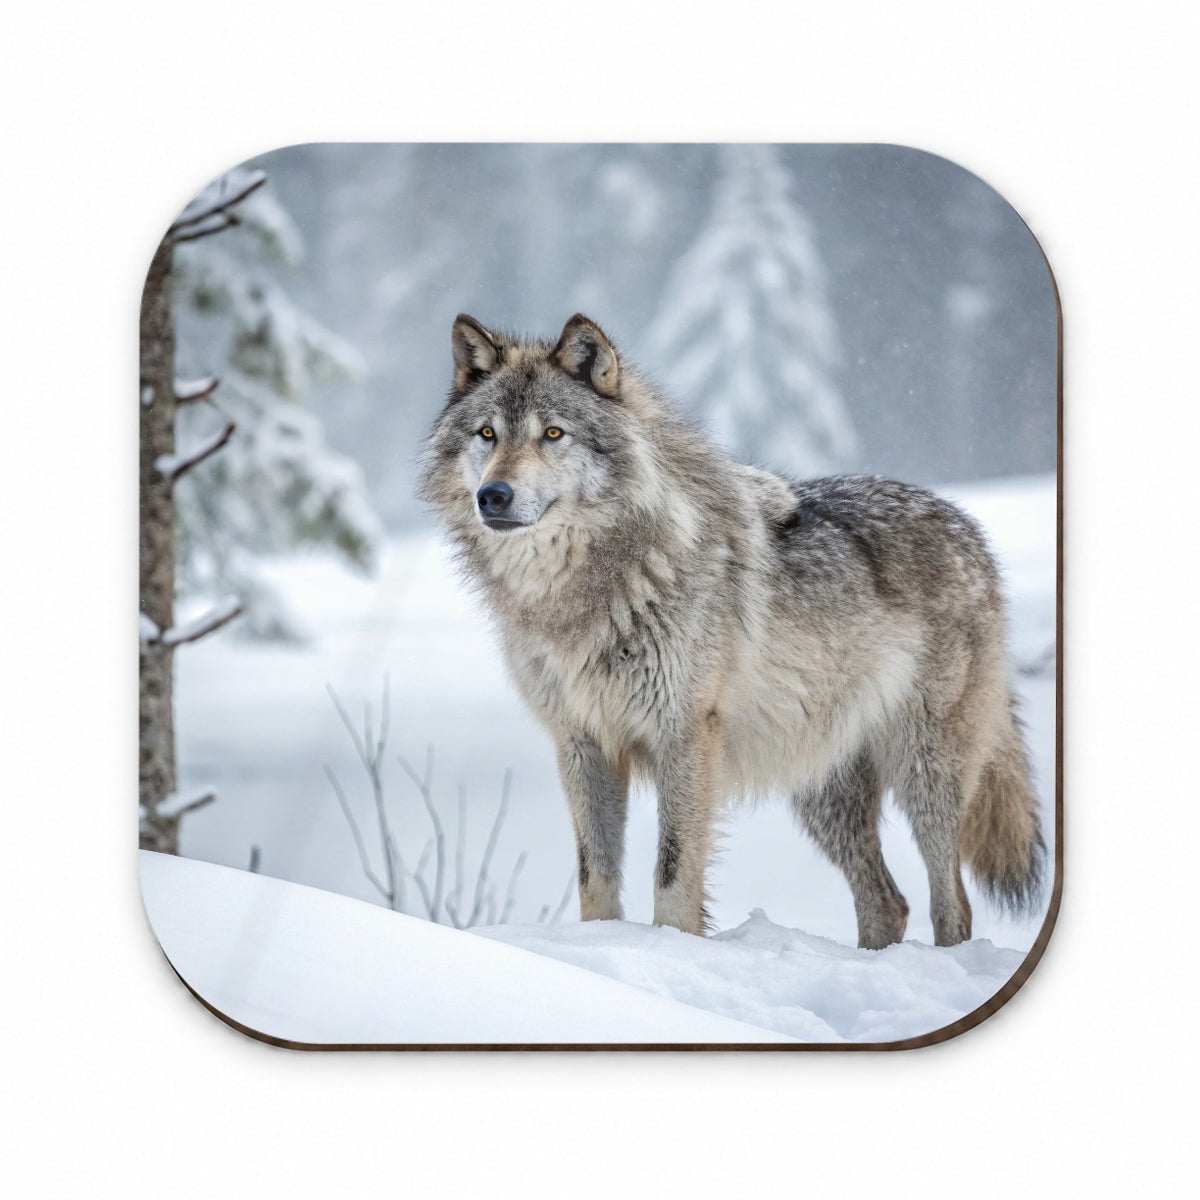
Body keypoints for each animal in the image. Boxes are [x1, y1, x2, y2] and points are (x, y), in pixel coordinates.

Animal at [418, 313, 1045, 946]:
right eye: (487, 434)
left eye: (552, 433)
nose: (493, 495)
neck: (584, 592)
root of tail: (967, 527)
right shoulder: (582, 743)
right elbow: (595, 880)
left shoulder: (685, 734)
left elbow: (672, 875)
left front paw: (672, 948)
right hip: (822, 792)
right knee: (887, 902)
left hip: (925, 772)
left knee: (952, 905)